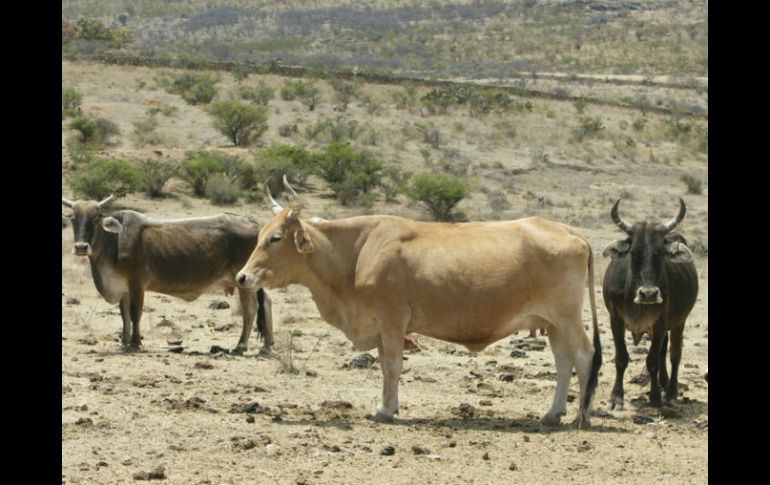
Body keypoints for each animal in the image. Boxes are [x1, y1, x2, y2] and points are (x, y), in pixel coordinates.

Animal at [63, 195, 272, 354]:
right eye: (73, 219)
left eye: (95, 218)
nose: (81, 247)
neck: (114, 240)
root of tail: (253, 223)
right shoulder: (123, 289)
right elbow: (124, 315)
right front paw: (124, 341)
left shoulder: (137, 284)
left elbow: (135, 314)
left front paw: (135, 343)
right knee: (266, 303)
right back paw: (267, 346)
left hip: (243, 283)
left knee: (250, 310)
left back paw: (240, 346)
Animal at [238, 195, 600, 426]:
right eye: (259, 235)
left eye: (275, 238)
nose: (243, 277)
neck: (355, 254)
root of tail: (569, 231)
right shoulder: (380, 326)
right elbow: (385, 365)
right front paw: (389, 406)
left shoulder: (392, 320)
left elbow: (392, 366)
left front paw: (385, 410)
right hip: (553, 323)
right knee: (563, 361)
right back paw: (552, 414)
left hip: (566, 317)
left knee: (584, 355)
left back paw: (581, 415)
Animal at [600, 199, 696, 406]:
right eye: (634, 252)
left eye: (660, 253)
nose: (649, 294)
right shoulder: (615, 320)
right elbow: (621, 358)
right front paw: (616, 396)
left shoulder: (660, 322)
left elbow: (652, 361)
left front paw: (654, 397)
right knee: (663, 351)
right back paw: (663, 383)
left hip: (679, 322)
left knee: (674, 354)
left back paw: (671, 391)